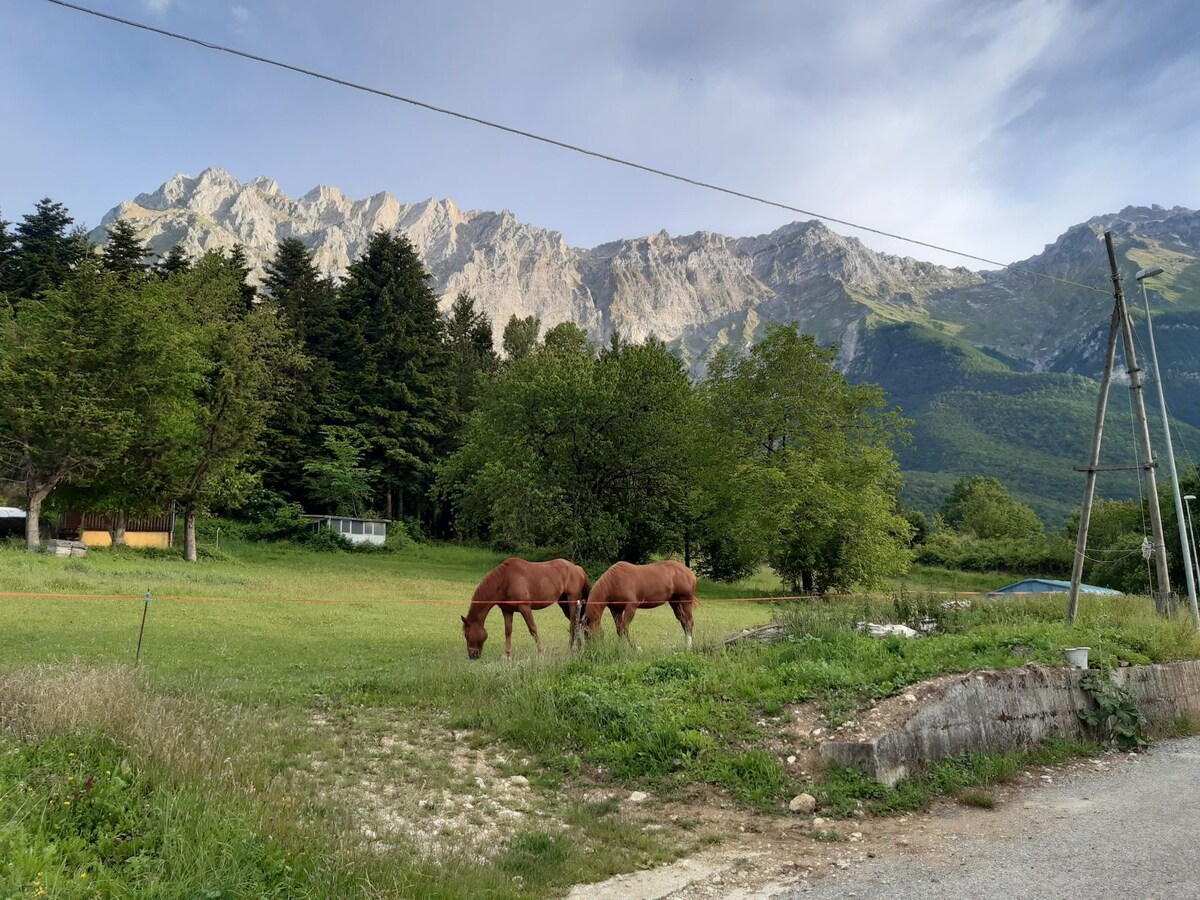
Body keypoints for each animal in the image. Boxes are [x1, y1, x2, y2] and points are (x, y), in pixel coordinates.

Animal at [458, 556, 590, 662]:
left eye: (467, 635)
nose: (472, 655)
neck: (505, 580)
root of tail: (578, 569)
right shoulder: (507, 610)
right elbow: (508, 631)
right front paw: (507, 655)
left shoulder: (525, 607)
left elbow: (533, 629)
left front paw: (541, 654)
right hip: (564, 603)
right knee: (576, 623)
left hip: (572, 602)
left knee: (573, 624)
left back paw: (571, 649)